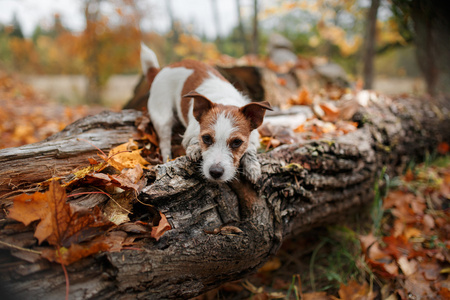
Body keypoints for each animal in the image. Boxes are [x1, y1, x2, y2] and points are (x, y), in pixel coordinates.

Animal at [141, 43, 270, 182]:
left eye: (237, 142)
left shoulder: (254, 138)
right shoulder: (190, 133)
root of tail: (162, 69)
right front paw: (195, 148)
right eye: (206, 138)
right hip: (163, 117)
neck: (224, 99)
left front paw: (252, 166)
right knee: (164, 142)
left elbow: (250, 149)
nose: (215, 172)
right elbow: (192, 139)